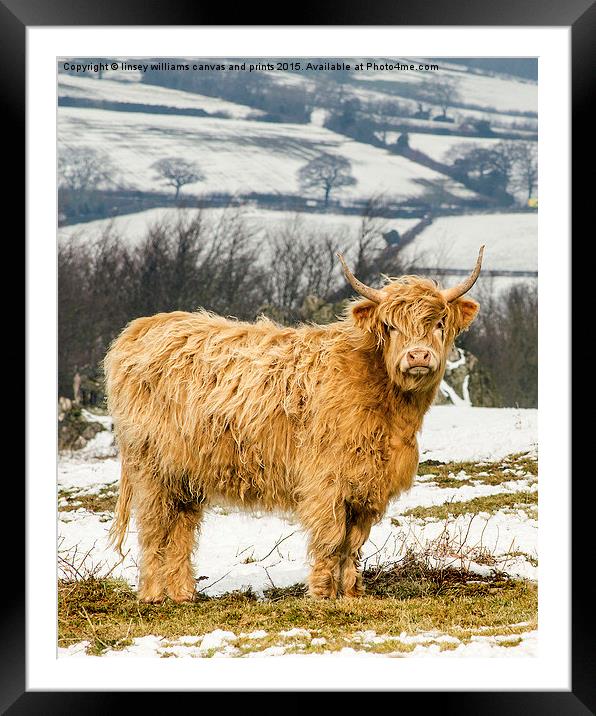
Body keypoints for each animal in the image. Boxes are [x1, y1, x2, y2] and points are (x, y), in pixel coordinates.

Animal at [105, 249, 482, 600]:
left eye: (439, 324)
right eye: (390, 326)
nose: (418, 356)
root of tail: (142, 329)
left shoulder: (368, 482)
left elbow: (354, 542)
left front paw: (351, 592)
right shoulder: (326, 479)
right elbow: (332, 537)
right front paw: (323, 593)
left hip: (185, 472)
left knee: (181, 528)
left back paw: (183, 593)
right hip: (151, 468)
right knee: (155, 527)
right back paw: (153, 594)